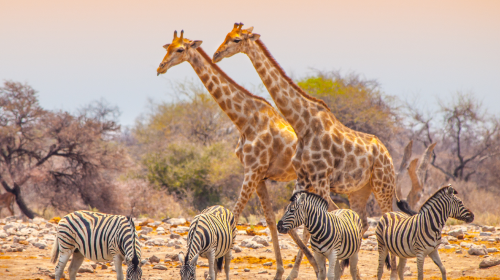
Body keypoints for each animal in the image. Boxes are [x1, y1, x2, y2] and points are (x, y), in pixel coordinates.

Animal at [156, 29, 320, 278]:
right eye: (168, 48)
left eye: (180, 49)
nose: (160, 67)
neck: (245, 120)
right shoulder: (259, 175)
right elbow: (269, 219)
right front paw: (278, 271)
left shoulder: (252, 171)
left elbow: (234, 217)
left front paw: (218, 269)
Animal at [213, 24, 412, 280]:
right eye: (226, 36)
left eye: (236, 40)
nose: (217, 54)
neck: (302, 123)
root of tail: (387, 154)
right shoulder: (305, 179)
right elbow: (300, 224)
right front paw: (319, 268)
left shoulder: (320, 179)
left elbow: (326, 221)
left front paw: (326, 267)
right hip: (359, 190)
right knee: (363, 221)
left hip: (383, 186)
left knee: (386, 220)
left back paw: (391, 272)